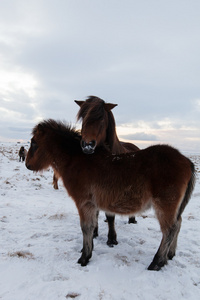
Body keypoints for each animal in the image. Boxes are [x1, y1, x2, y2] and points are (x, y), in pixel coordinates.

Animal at [25, 119, 195, 270]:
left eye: (33, 143)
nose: (27, 165)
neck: (77, 161)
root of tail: (187, 161)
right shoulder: (93, 205)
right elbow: (93, 226)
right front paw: (88, 249)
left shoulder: (84, 203)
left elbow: (86, 227)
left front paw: (84, 257)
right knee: (178, 224)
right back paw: (170, 255)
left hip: (165, 205)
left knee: (169, 230)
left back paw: (157, 262)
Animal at [75, 96, 139, 230]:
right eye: (83, 118)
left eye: (102, 119)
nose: (87, 145)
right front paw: (95, 232)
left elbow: (110, 216)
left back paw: (132, 220)